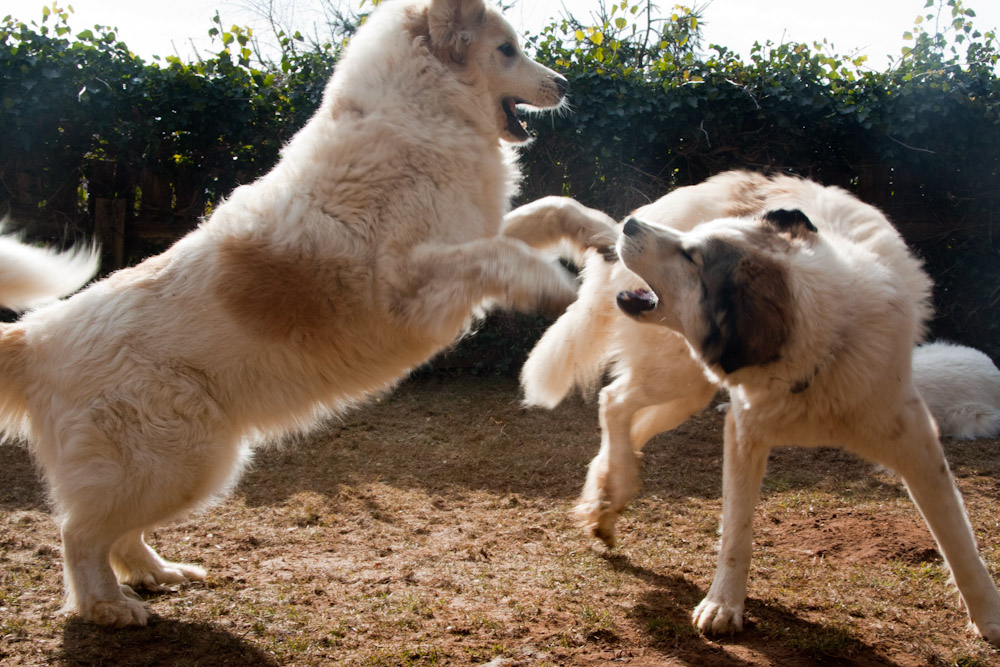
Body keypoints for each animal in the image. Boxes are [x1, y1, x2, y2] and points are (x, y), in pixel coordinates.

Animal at [0, 0, 616, 628]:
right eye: (507, 50)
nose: (566, 84)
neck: (421, 112)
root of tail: (36, 335)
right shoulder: (410, 284)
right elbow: (502, 254)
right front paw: (556, 286)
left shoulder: (470, 235)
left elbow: (547, 210)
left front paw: (602, 234)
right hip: (175, 461)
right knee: (78, 534)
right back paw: (107, 606)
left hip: (177, 468)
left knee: (116, 534)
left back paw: (155, 573)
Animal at [516, 171, 1000, 640]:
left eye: (693, 256)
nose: (632, 226)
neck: (825, 343)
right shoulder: (744, 432)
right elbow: (737, 532)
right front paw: (723, 605)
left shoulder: (917, 445)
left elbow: (957, 538)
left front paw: (989, 616)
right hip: (677, 376)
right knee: (613, 403)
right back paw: (611, 490)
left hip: (685, 391)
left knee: (624, 417)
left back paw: (607, 494)